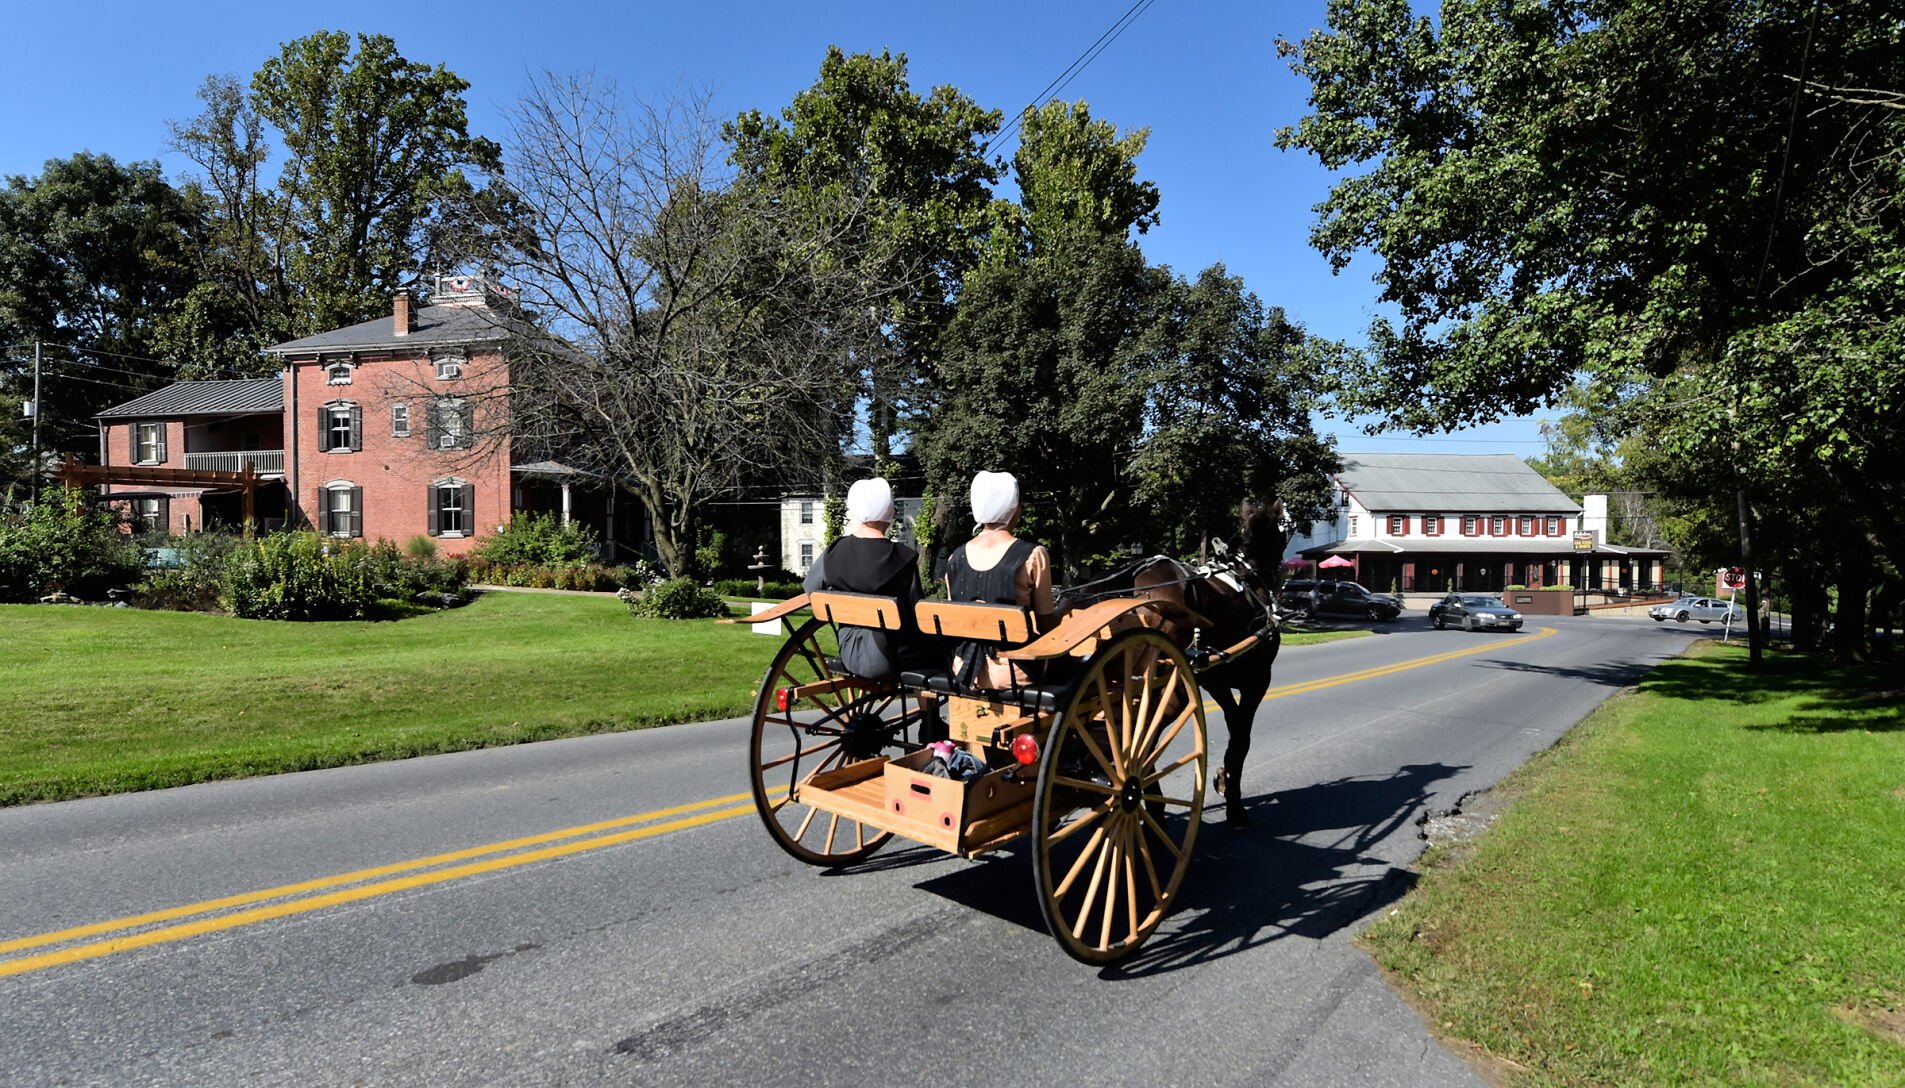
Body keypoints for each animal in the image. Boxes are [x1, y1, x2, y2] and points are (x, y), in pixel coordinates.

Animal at [1066, 506, 1287, 830]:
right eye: (1283, 532)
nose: (1280, 576)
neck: (1247, 577)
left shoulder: (1217, 680)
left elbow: (1234, 727)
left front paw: (1224, 779)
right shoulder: (1258, 678)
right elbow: (1241, 738)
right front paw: (1235, 806)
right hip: (1167, 688)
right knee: (1139, 743)